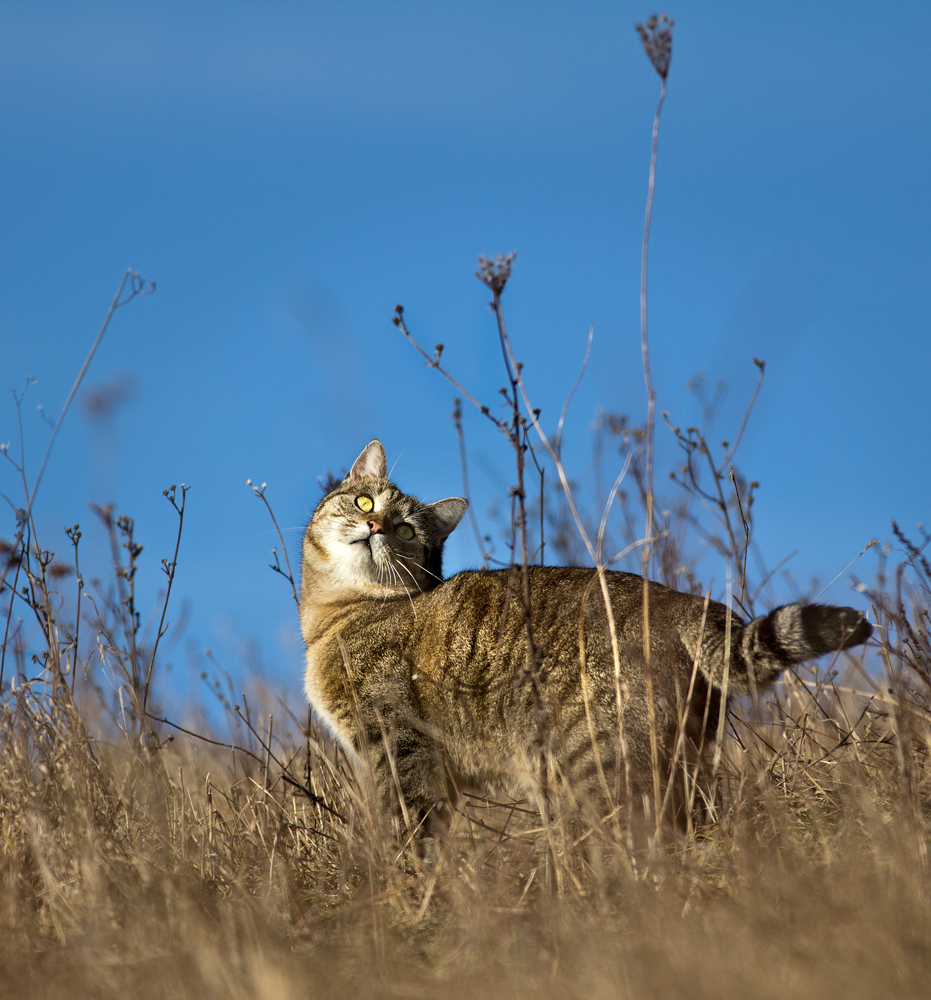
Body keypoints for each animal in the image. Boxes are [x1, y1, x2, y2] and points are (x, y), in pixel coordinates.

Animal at [300, 442, 872, 840]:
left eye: (408, 531)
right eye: (364, 500)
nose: (375, 525)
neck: (337, 616)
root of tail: (683, 602)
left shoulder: (399, 741)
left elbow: (412, 828)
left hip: (593, 762)